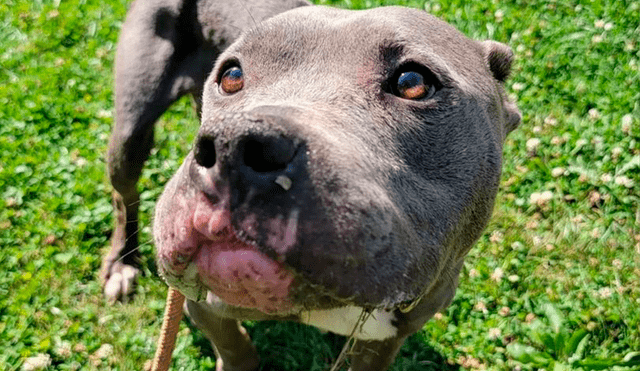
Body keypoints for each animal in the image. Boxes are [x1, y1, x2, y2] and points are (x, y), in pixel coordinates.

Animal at [109, 0, 520, 371]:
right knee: (123, 196)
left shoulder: (387, 339)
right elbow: (236, 348)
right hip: (129, 134)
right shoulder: (198, 303)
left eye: (413, 83)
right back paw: (121, 263)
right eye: (231, 75)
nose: (233, 146)